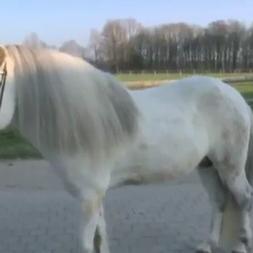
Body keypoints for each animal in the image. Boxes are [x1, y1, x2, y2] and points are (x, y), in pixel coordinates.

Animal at [0, 45, 253, 253]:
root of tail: (235, 96)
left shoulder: (89, 197)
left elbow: (87, 244)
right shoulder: (96, 196)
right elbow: (100, 238)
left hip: (231, 168)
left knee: (244, 199)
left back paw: (242, 245)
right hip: (208, 166)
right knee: (219, 201)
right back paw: (208, 244)